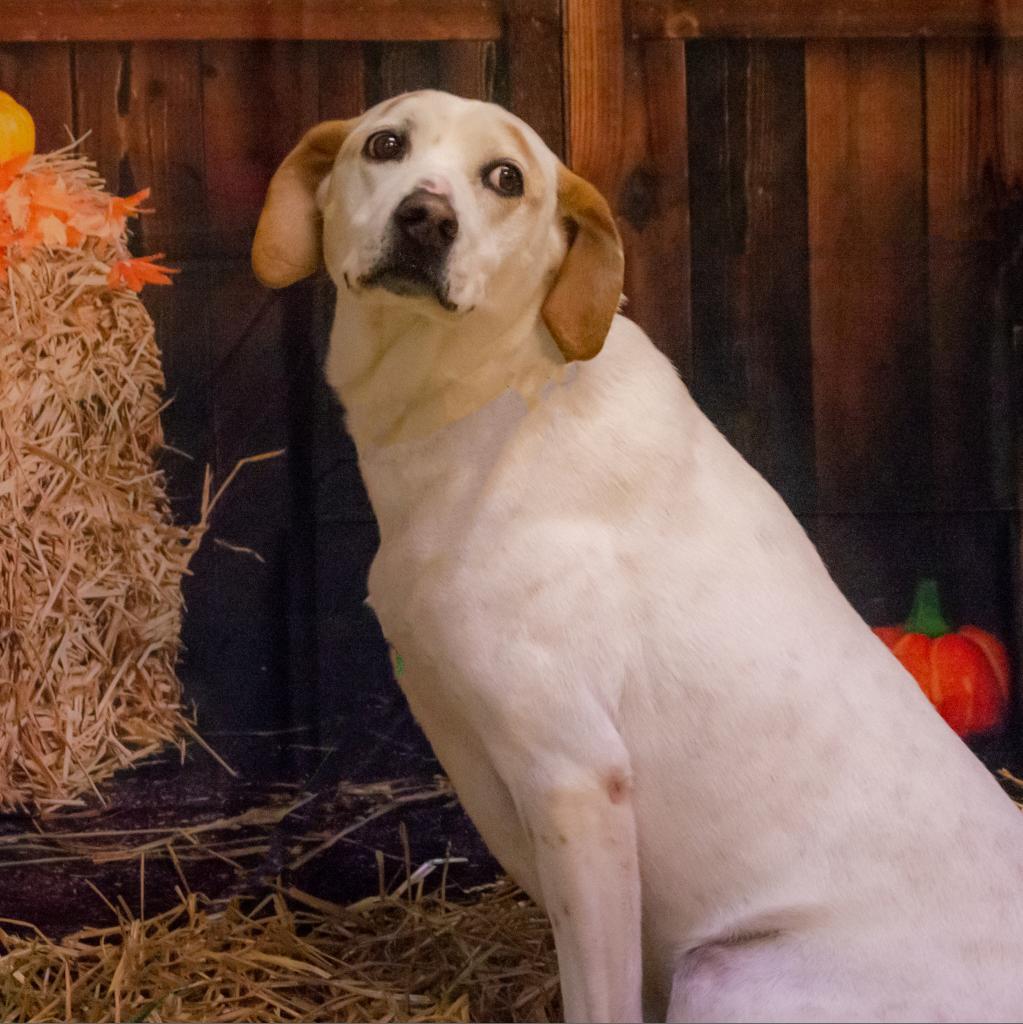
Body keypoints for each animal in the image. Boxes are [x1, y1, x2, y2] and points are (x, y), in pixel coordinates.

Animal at [251, 92, 1023, 1019]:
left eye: (505, 178)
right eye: (385, 144)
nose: (426, 217)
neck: (496, 402)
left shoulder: (576, 778)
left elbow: (599, 996)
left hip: (723, 973)